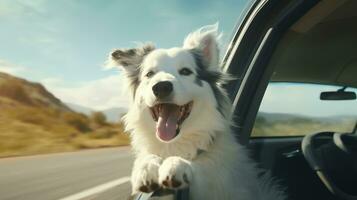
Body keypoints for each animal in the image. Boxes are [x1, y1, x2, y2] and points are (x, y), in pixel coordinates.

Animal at [107, 24, 286, 199]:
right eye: (149, 74)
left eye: (186, 71)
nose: (161, 87)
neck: (175, 144)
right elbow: (147, 157)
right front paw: (146, 167)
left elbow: (199, 168)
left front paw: (176, 164)